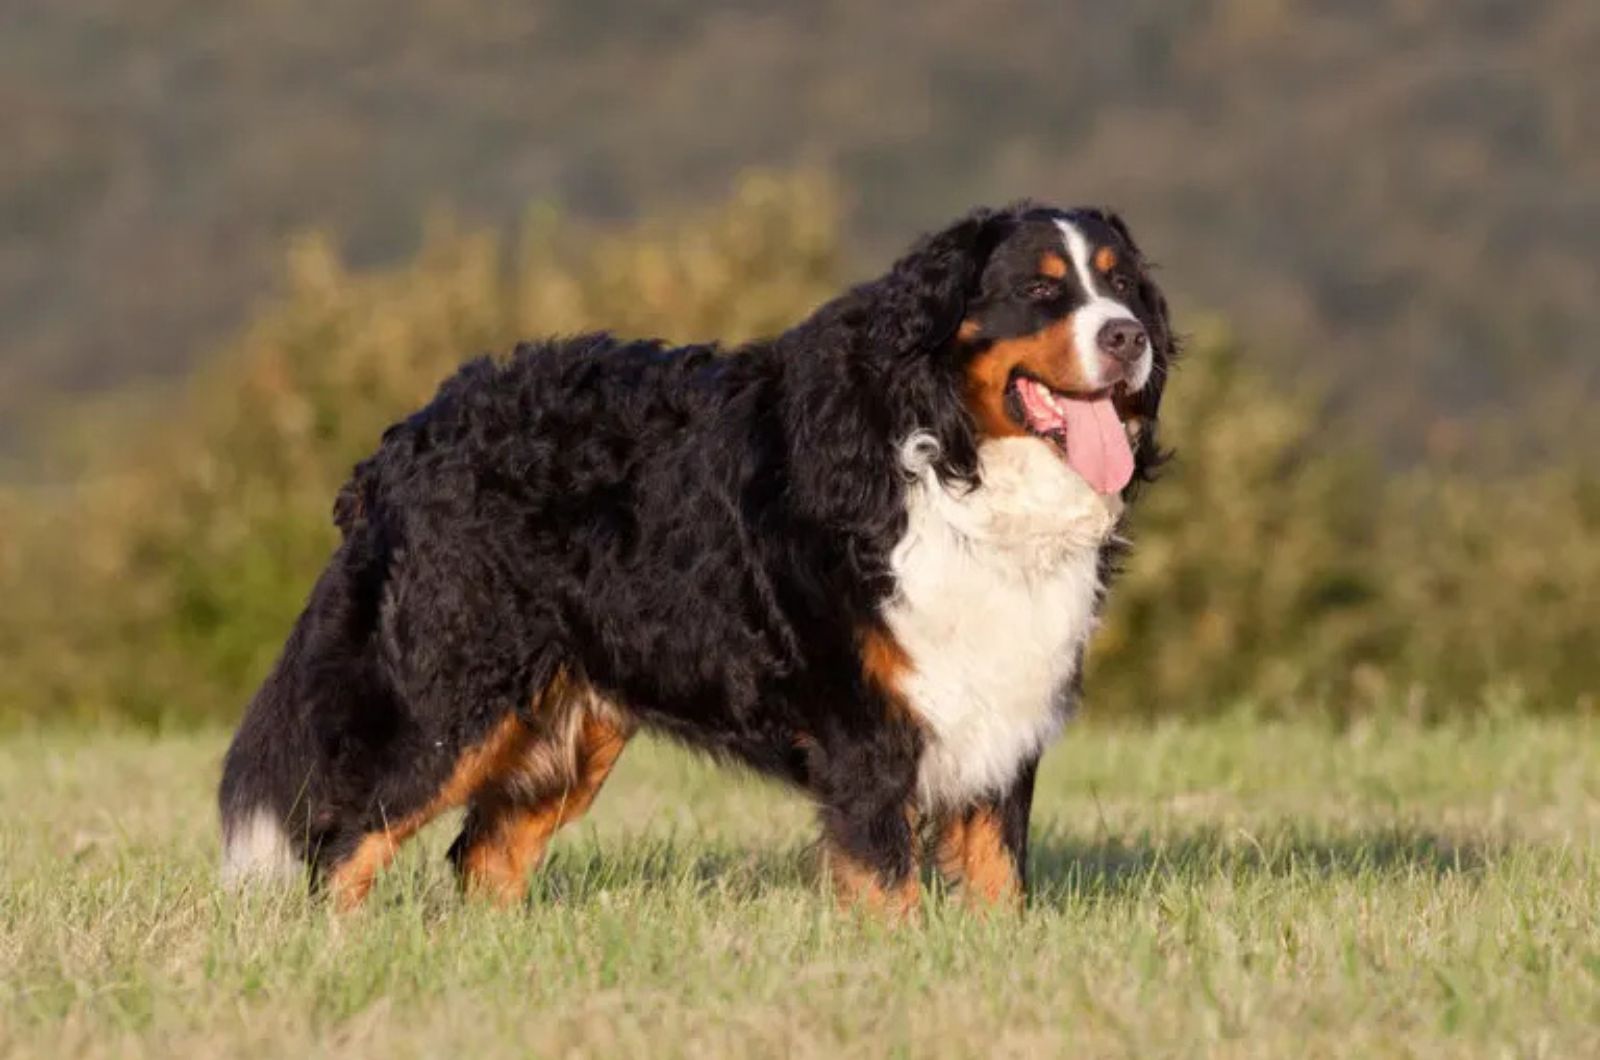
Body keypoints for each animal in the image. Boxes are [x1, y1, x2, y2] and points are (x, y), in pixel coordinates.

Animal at [219, 203, 1177, 915]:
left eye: (1122, 283)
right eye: (1039, 289)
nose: (1129, 337)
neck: (952, 463)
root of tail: (403, 441)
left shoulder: (999, 714)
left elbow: (998, 882)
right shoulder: (866, 730)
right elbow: (886, 882)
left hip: (568, 726)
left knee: (482, 855)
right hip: (448, 699)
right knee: (346, 840)